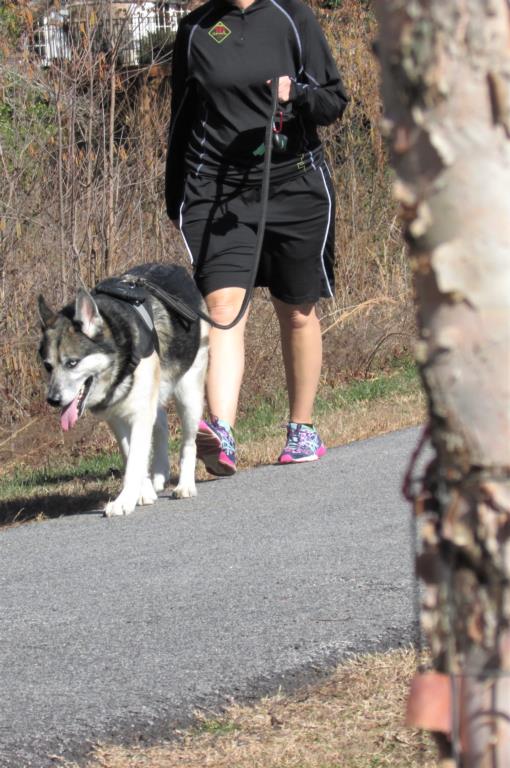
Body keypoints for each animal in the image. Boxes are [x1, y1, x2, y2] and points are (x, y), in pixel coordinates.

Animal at [37, 262, 209, 516]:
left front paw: (124, 501)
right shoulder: (116, 419)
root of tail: (176, 268)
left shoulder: (139, 414)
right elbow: (131, 456)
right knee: (161, 425)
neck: (120, 355)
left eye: (72, 363)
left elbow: (136, 460)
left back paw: (185, 485)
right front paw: (142, 492)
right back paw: (159, 474)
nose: (53, 400)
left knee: (189, 443)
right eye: (48, 366)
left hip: (188, 398)